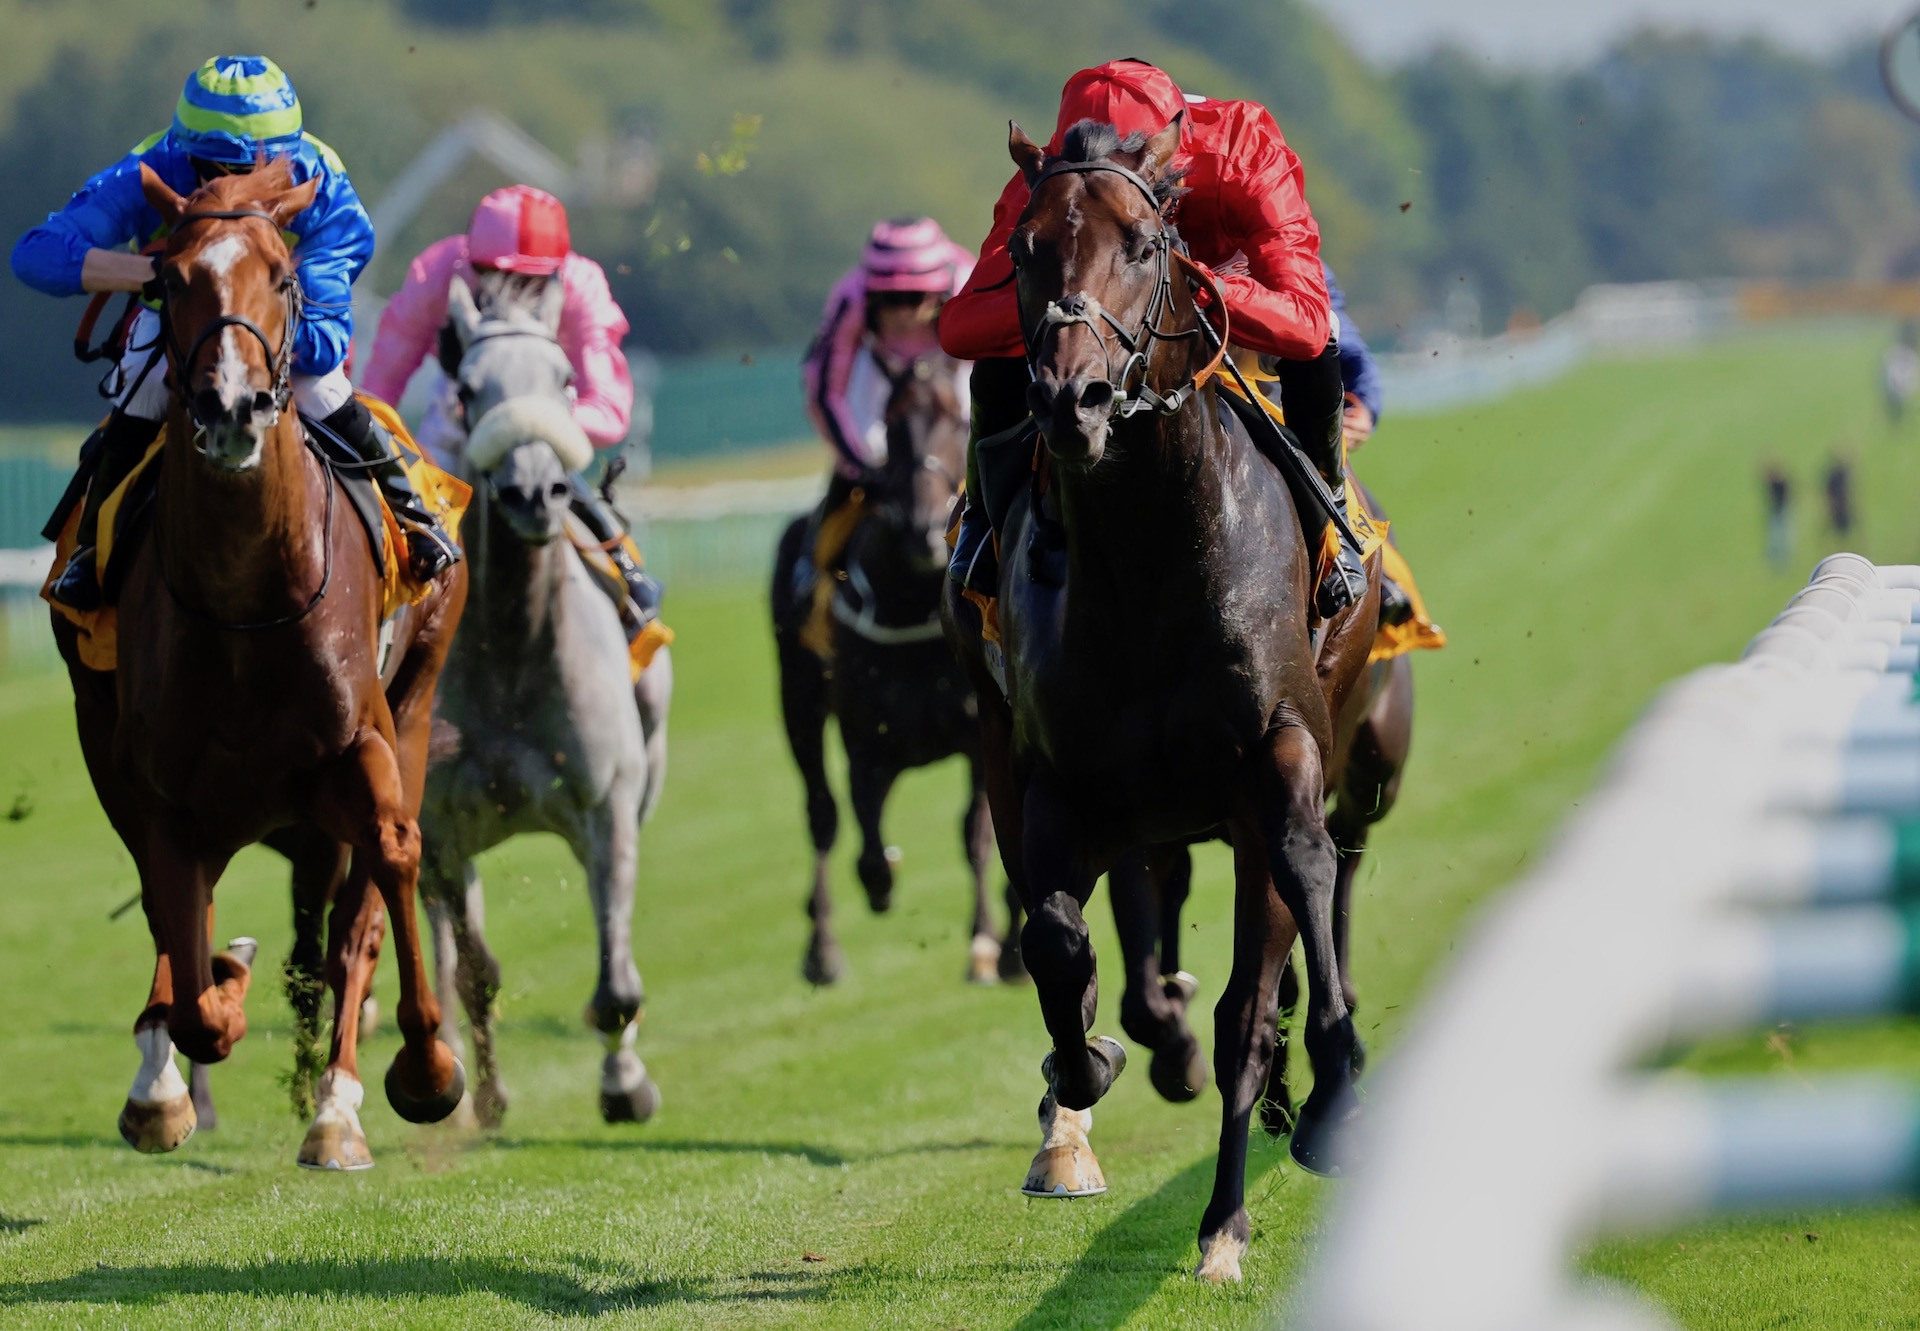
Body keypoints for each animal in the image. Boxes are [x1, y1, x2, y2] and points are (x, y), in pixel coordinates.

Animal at [50, 163, 470, 1160]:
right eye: (168, 280)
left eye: (283, 275)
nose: (230, 405)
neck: (245, 599)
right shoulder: (161, 788)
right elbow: (195, 975)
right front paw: (192, 1040)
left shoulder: (364, 745)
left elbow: (389, 865)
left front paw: (424, 1070)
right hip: (105, 734)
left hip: (418, 694)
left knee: (354, 918)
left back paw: (337, 1105)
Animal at [410, 274, 668, 1129]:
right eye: (466, 389)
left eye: (563, 381)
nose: (533, 491)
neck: (513, 651)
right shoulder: (440, 827)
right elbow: (475, 970)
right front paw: (486, 1098)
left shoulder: (607, 805)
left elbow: (617, 980)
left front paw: (625, 1084)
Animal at [775, 353, 1029, 983]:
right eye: (891, 429)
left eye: (955, 419)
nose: (921, 529)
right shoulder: (866, 738)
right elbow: (865, 838)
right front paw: (881, 882)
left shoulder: (976, 733)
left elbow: (977, 834)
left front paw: (994, 944)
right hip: (799, 705)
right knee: (822, 814)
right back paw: (822, 950)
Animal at [944, 116, 1382, 1275]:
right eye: (1025, 252)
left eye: (1144, 245)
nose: (1073, 399)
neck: (1151, 559)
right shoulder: (1061, 784)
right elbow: (1056, 945)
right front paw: (1080, 1062)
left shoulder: (1279, 756)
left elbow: (1302, 885)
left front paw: (1331, 1089)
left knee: (1255, 987)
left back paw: (1233, 1197)